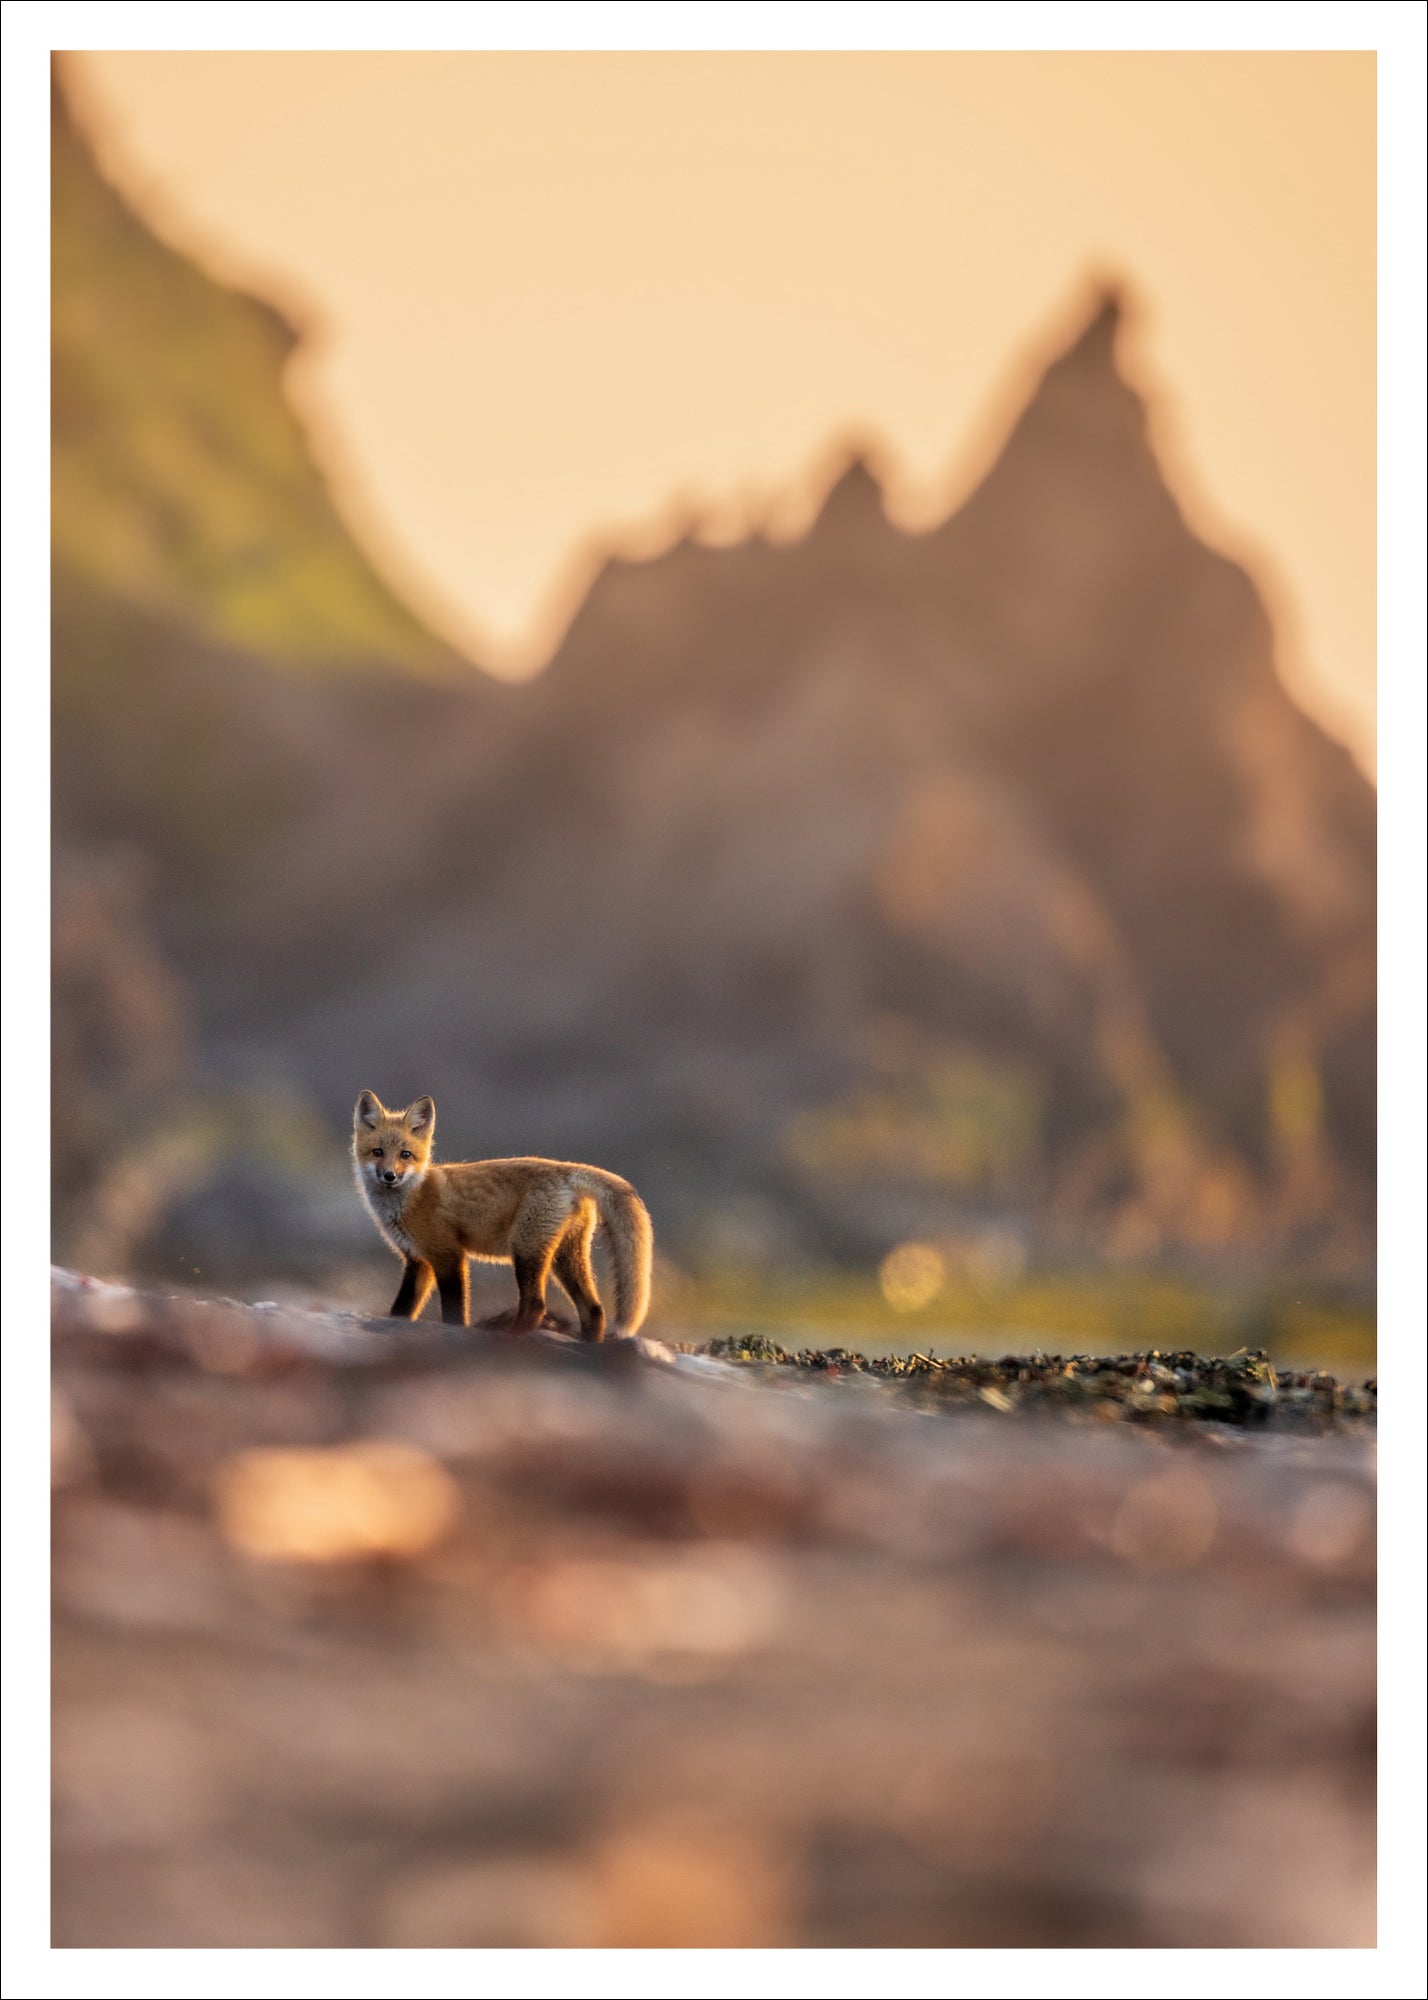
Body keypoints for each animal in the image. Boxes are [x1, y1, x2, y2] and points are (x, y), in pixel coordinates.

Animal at [352, 1091, 653, 1339]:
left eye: (405, 1155)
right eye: (377, 1152)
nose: (389, 1176)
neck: (411, 1198)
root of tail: (567, 1169)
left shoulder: (449, 1255)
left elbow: (454, 1312)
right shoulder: (418, 1260)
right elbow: (402, 1309)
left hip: (526, 1250)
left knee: (536, 1304)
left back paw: (512, 1337)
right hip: (565, 1256)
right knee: (594, 1310)